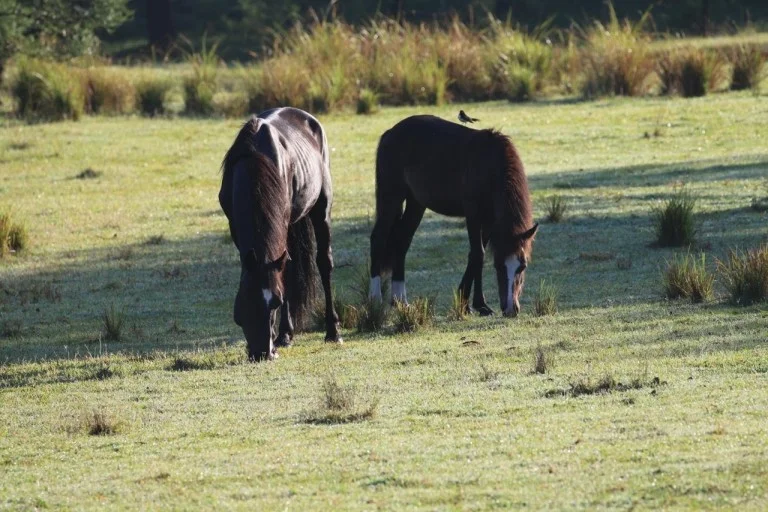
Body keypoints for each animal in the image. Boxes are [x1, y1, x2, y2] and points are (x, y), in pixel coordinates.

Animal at [219, 107, 342, 361]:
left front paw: (281, 335)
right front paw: (283, 335)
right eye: (245, 302)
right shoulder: (234, 226)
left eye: (275, 302)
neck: (254, 160)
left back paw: (332, 331)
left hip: (321, 210)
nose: (262, 353)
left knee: (324, 264)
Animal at [369, 115, 538, 317]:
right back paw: (375, 299)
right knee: (378, 239)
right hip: (391, 197)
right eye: (498, 265)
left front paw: (468, 301)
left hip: (416, 203)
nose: (511, 309)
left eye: (522, 266)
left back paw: (400, 300)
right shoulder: (473, 215)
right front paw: (474, 304)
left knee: (402, 241)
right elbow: (478, 254)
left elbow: (475, 256)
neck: (490, 166)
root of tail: (390, 133)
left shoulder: (489, 222)